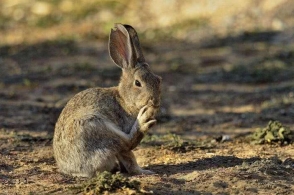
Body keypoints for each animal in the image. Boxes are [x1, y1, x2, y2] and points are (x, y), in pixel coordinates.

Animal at [52, 23, 161, 177]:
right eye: (138, 83)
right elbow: (129, 156)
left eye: (159, 80)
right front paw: (143, 171)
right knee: (125, 142)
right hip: (94, 125)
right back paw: (143, 121)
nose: (155, 101)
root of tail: (73, 170)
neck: (124, 100)